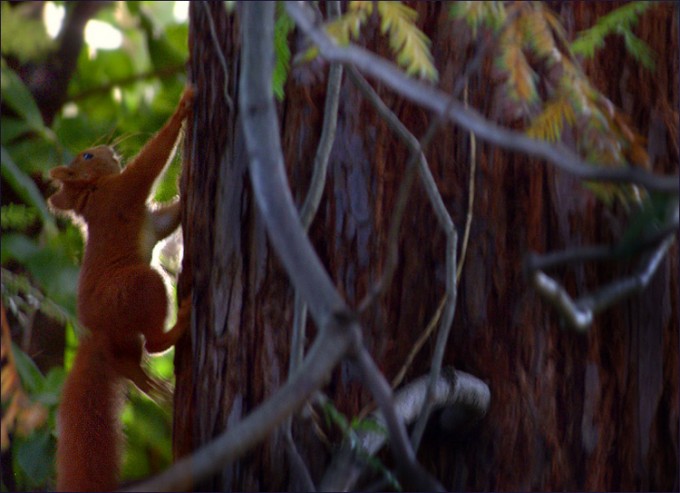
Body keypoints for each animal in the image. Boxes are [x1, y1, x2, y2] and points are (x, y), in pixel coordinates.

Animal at [48, 86, 195, 492]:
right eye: (87, 155)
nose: (108, 148)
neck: (94, 193)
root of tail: (96, 335)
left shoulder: (149, 217)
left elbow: (170, 216)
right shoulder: (125, 191)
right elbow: (151, 161)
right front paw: (183, 106)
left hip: (124, 336)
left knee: (133, 363)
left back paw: (154, 386)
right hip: (136, 288)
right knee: (155, 343)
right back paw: (180, 324)